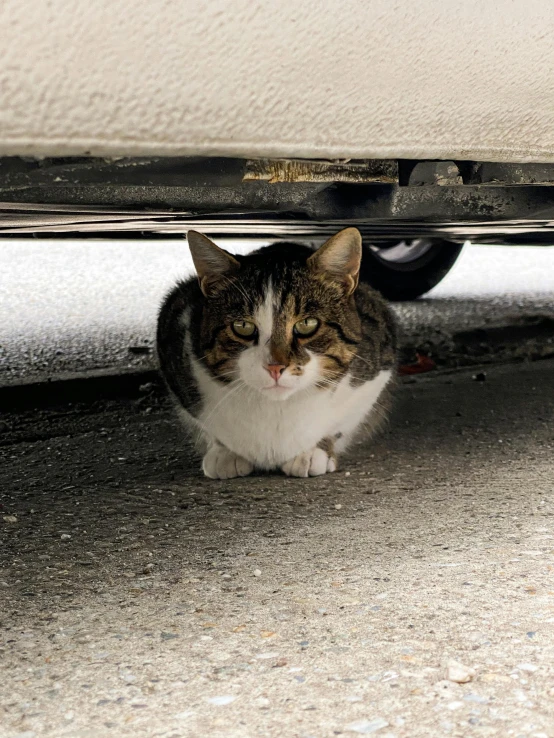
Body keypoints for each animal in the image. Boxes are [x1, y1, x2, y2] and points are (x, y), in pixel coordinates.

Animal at [156, 227, 396, 478]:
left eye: (307, 324)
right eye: (242, 326)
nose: (275, 367)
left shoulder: (378, 365)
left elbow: (342, 423)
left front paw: (313, 451)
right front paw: (225, 452)